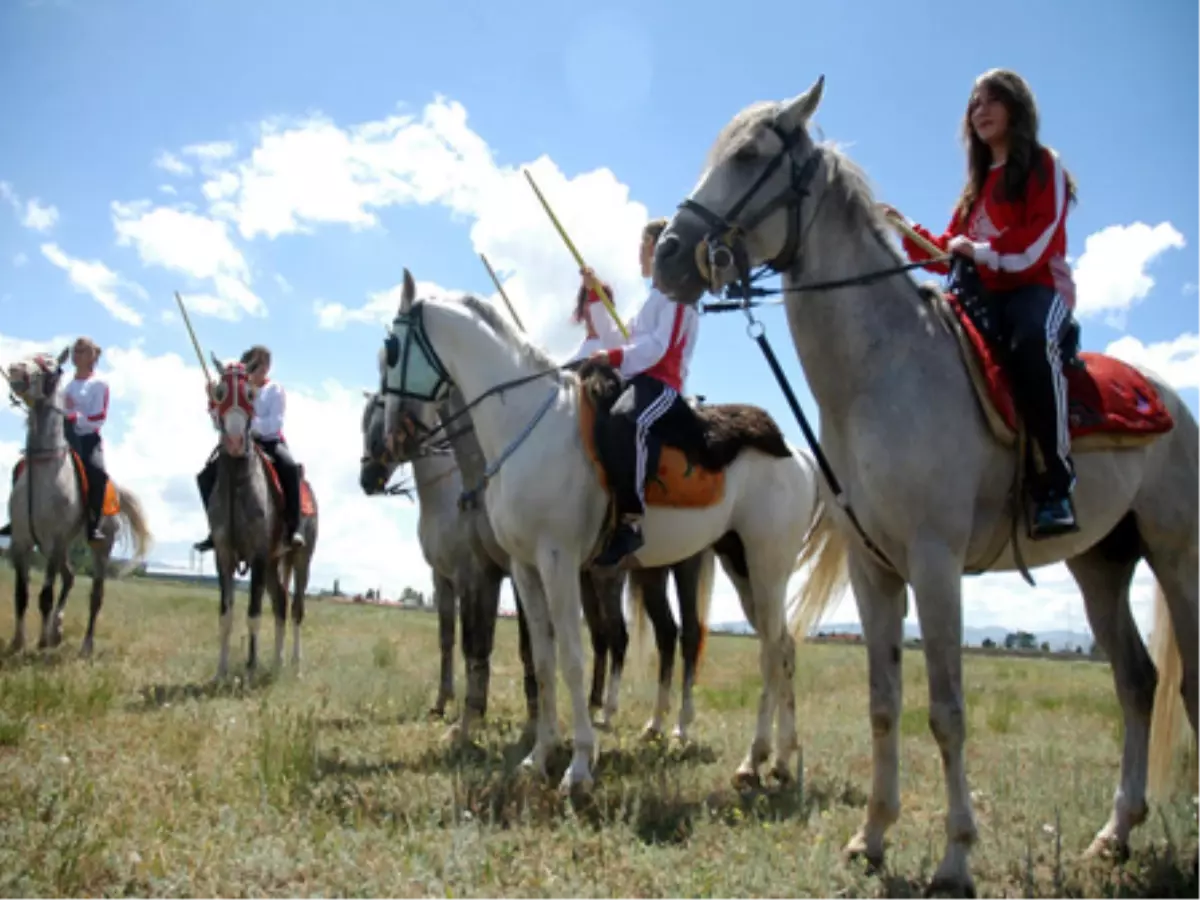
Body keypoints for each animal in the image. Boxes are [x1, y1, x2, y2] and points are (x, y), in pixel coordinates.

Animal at [4, 350, 152, 657]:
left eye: (53, 367)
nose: (15, 370)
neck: (45, 471)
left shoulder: (55, 540)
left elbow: (45, 595)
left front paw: (41, 641)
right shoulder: (22, 542)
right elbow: (21, 595)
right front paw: (18, 642)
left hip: (98, 547)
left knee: (96, 595)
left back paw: (85, 645)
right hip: (59, 547)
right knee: (70, 576)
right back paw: (56, 630)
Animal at [205, 355, 319, 681]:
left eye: (250, 394)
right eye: (219, 392)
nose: (233, 440)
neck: (238, 484)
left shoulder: (256, 556)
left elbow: (253, 615)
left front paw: (251, 670)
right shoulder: (224, 555)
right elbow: (226, 615)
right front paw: (221, 672)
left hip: (300, 559)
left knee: (296, 608)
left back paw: (294, 665)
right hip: (272, 562)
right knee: (280, 603)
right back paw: (278, 663)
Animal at [381, 271, 835, 792]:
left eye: (390, 349)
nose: (395, 434)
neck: (526, 425)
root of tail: (798, 455)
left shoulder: (557, 560)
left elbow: (574, 658)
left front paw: (578, 764)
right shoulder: (524, 567)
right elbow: (543, 658)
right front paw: (538, 757)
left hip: (766, 567)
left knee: (765, 652)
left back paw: (751, 756)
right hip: (740, 564)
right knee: (781, 648)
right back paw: (777, 758)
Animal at [652, 75, 1200, 897]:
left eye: (748, 154)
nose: (666, 253)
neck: (882, 373)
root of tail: (1168, 398)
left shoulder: (935, 565)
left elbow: (947, 710)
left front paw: (954, 857)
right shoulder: (875, 569)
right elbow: (885, 704)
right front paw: (872, 837)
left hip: (1176, 556)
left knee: (1187, 682)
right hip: (1101, 564)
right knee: (1137, 683)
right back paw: (1114, 835)